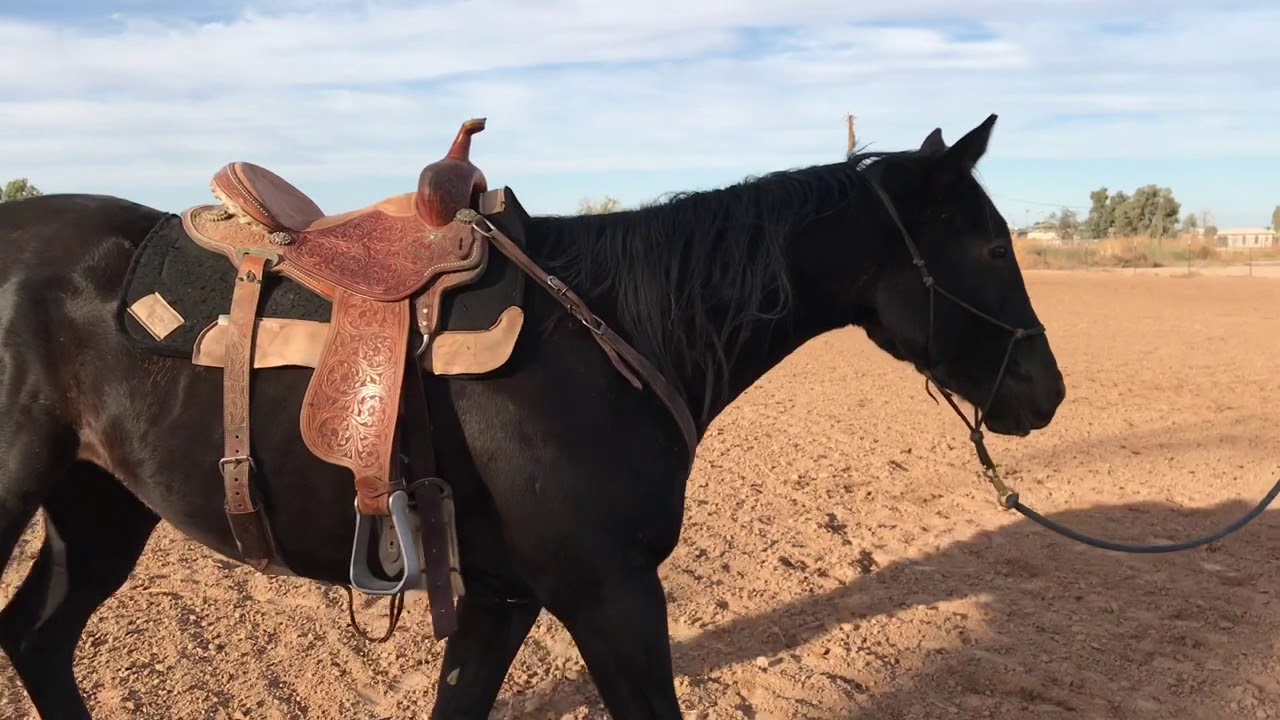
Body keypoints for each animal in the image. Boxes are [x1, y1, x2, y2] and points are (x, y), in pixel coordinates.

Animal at [0, 113, 1064, 719]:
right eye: (991, 247)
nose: (1046, 390)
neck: (617, 331)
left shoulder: (502, 601)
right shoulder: (611, 594)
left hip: (99, 508)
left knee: (37, 641)